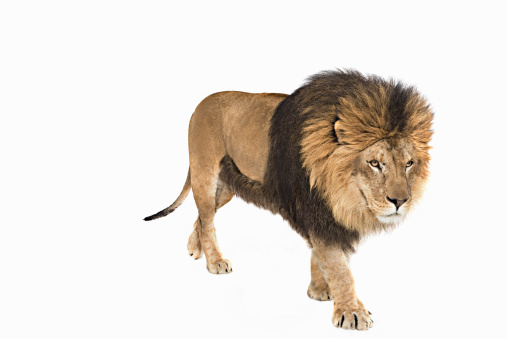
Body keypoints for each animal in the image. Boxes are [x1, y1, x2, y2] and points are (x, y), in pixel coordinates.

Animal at [145, 68, 434, 330]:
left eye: (409, 164)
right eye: (374, 163)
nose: (400, 201)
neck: (343, 195)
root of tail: (202, 102)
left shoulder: (322, 216)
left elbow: (321, 257)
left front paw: (320, 290)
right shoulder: (315, 210)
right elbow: (339, 268)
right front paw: (352, 312)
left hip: (225, 187)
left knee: (203, 217)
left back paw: (194, 248)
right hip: (205, 174)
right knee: (207, 218)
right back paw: (214, 260)